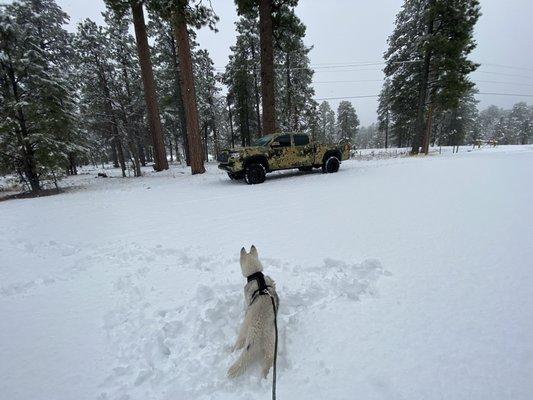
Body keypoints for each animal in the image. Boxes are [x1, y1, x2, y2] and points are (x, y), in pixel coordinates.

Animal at [228, 244, 280, 378]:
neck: (257, 275)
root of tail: (257, 330)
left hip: (243, 330)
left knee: (238, 344)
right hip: (271, 345)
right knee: (268, 363)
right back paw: (265, 377)